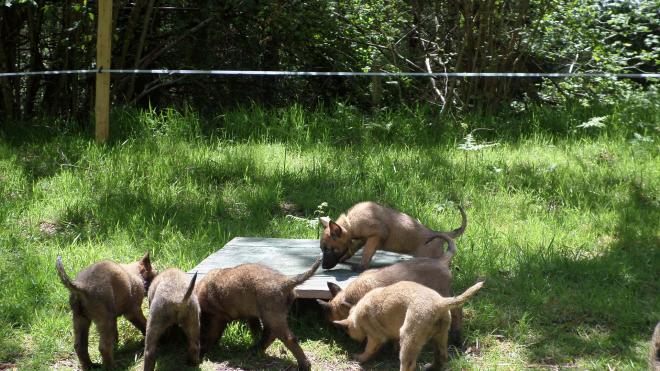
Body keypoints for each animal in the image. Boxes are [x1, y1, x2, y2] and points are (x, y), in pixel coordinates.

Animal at [316, 235, 462, 346]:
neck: (353, 294)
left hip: (442, 295)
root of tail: (442, 261)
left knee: (457, 312)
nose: (339, 338)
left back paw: (457, 338)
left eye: (338, 327)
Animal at [318, 202, 464, 272]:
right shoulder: (363, 239)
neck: (350, 223)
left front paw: (361, 267)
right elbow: (352, 248)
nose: (323, 267)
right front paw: (345, 258)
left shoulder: (377, 234)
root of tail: (435, 233)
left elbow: (367, 253)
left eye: (328, 249)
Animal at [336, 282, 484, 371]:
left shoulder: (375, 337)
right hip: (440, 335)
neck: (357, 315)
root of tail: (440, 302)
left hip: (409, 337)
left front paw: (360, 357)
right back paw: (430, 367)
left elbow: (369, 350)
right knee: (442, 356)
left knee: (409, 365)